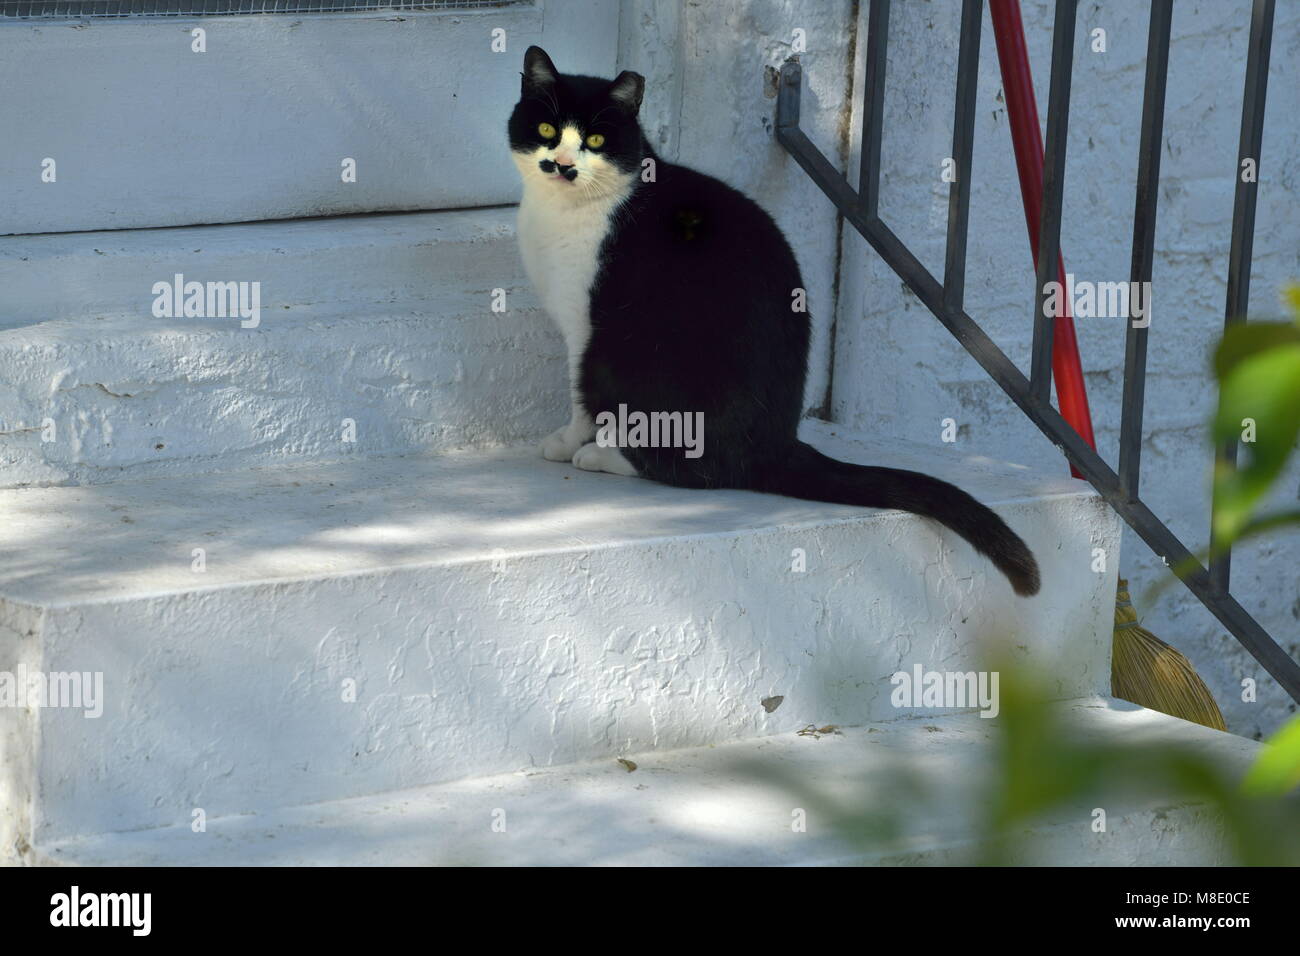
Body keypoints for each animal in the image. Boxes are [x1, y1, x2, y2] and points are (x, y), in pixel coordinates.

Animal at [501, 48, 1040, 598]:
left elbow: (579, 395)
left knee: (699, 468)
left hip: (627, 355)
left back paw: (603, 454)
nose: (563, 165)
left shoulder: (583, 324)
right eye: (546, 128)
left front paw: (568, 441)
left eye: (594, 141)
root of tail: (779, 443)